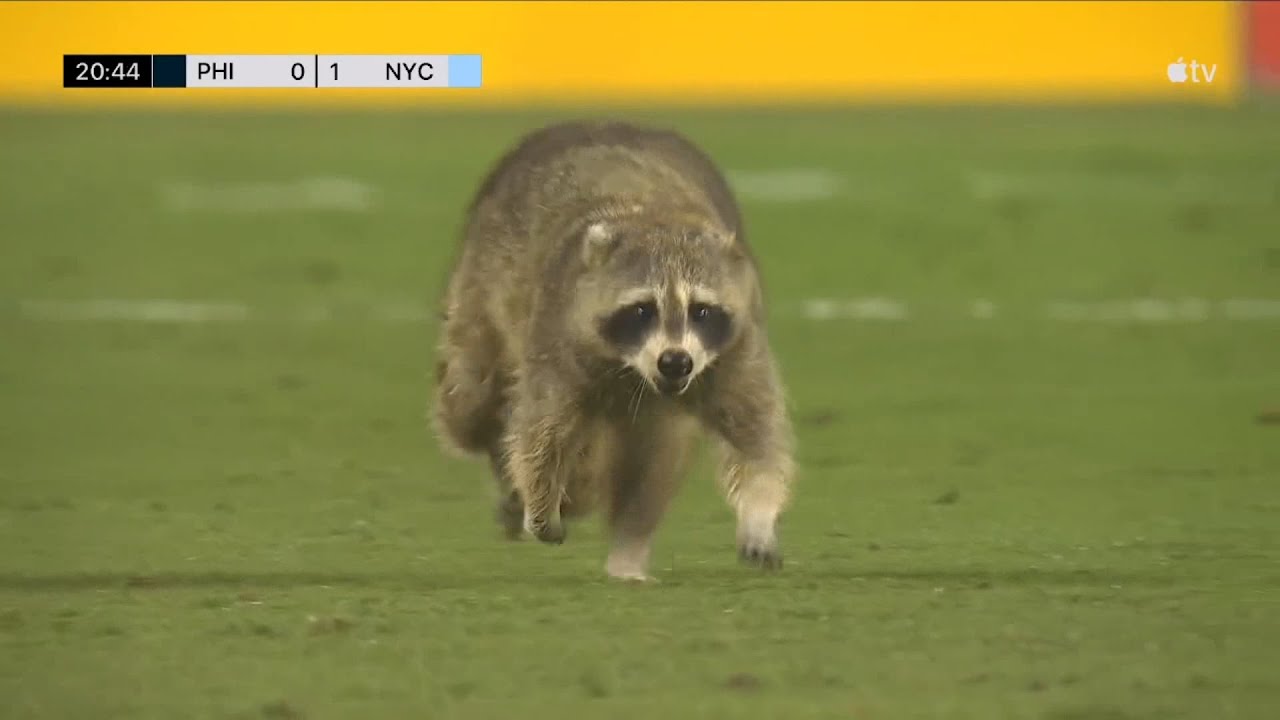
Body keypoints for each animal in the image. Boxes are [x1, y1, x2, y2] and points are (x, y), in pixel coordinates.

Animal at [432, 121, 795, 581]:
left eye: (701, 310)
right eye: (642, 310)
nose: (675, 361)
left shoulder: (736, 346)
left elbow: (756, 435)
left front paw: (759, 515)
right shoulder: (558, 335)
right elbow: (541, 433)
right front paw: (541, 508)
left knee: (654, 458)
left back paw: (627, 551)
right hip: (480, 292)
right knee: (471, 404)